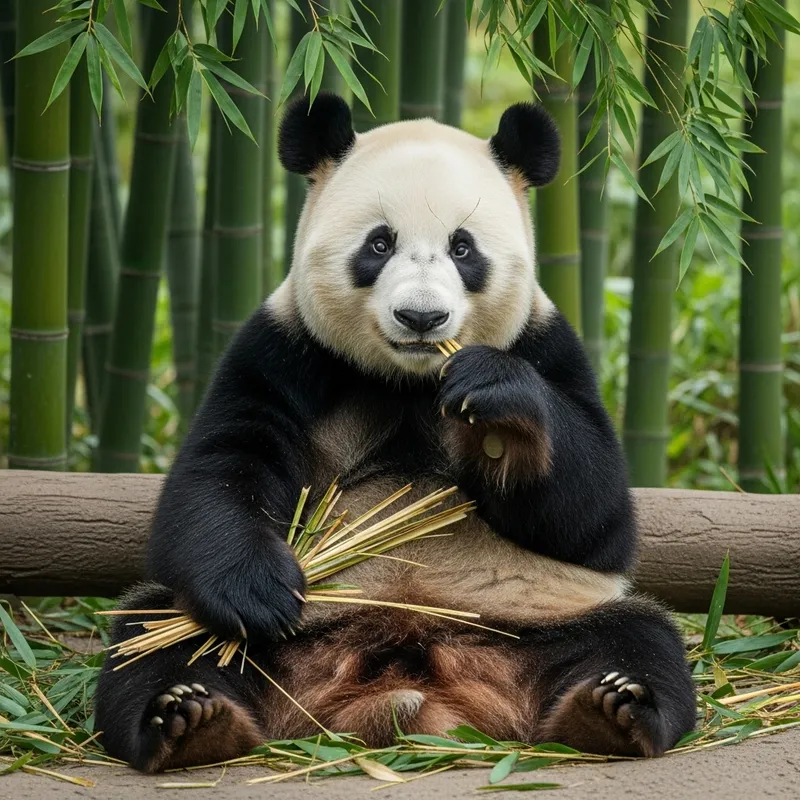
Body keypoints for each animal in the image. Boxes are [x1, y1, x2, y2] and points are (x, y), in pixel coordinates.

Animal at [94, 93, 696, 773]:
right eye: (379, 243)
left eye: (463, 249)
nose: (421, 317)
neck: (409, 382)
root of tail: (414, 686)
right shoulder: (281, 350)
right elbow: (219, 470)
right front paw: (259, 591)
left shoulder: (547, 345)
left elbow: (598, 519)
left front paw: (495, 398)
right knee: (154, 638)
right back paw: (189, 718)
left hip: (538, 622)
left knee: (637, 637)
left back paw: (612, 710)